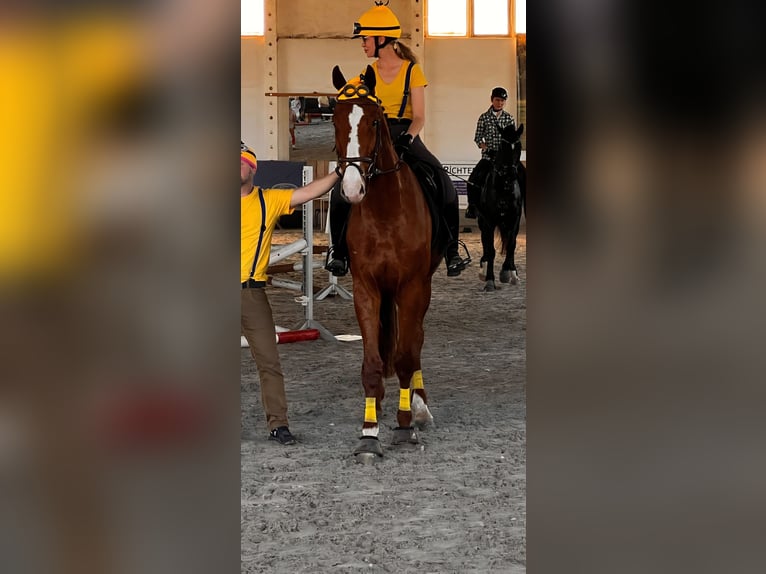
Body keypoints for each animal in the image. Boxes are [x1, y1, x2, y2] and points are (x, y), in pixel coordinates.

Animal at [331, 64, 445, 461]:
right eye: (335, 120)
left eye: (374, 122)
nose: (352, 190)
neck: (384, 211)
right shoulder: (366, 287)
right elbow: (372, 362)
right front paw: (369, 432)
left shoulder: (412, 286)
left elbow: (407, 357)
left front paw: (406, 425)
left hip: (419, 288)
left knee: (416, 341)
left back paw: (420, 405)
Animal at [476, 123, 526, 292]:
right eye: (503, 146)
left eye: (518, 146)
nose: (510, 173)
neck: (504, 186)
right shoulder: (489, 220)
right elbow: (490, 249)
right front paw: (490, 280)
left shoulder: (515, 218)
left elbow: (511, 244)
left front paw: (509, 273)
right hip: (482, 221)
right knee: (485, 242)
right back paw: (483, 270)